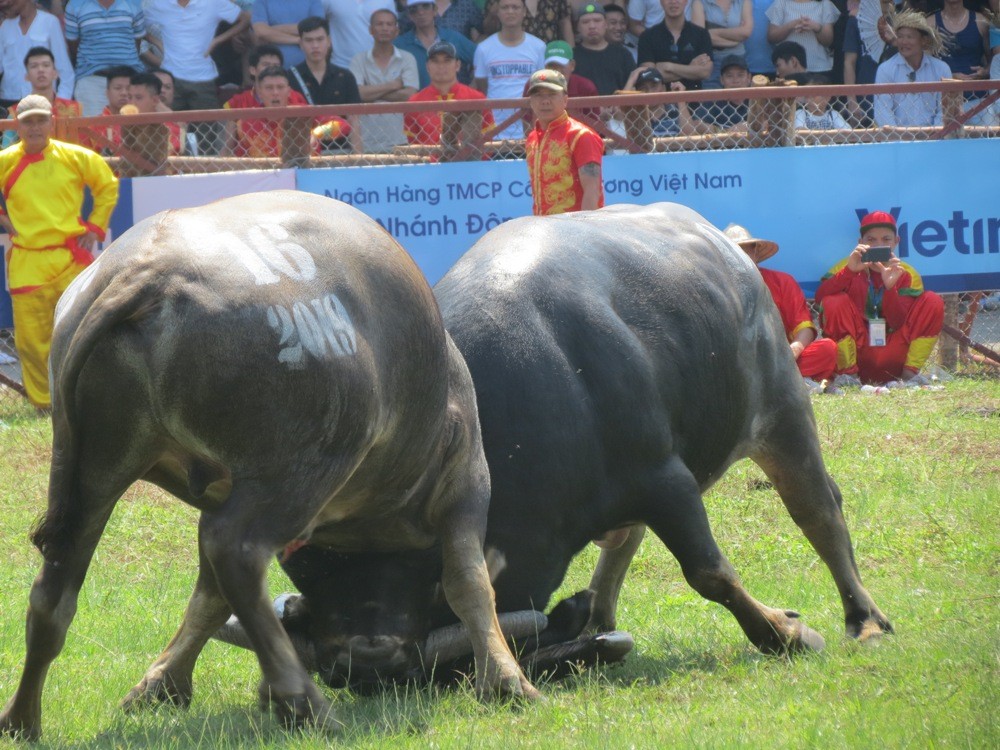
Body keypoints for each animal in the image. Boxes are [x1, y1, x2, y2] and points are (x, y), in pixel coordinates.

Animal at [0, 191, 540, 744]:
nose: (372, 662)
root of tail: (147, 271)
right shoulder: (466, 481)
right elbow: (469, 582)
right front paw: (507, 681)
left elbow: (207, 600)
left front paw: (160, 685)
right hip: (305, 467)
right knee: (235, 551)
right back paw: (304, 703)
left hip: (94, 465)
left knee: (56, 588)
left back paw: (22, 719)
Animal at [248, 203, 892, 680]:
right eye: (309, 571)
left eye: (423, 574)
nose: (364, 660)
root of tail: (729, 247)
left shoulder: (666, 479)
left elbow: (709, 572)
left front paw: (787, 633)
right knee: (625, 540)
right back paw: (600, 615)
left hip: (782, 410)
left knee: (818, 509)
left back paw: (865, 622)